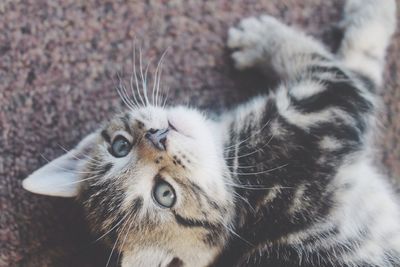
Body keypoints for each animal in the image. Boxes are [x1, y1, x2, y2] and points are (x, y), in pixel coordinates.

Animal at [23, 0, 398, 266]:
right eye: (164, 194)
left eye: (119, 145)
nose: (157, 137)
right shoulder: (328, 107)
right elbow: (349, 58)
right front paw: (262, 39)